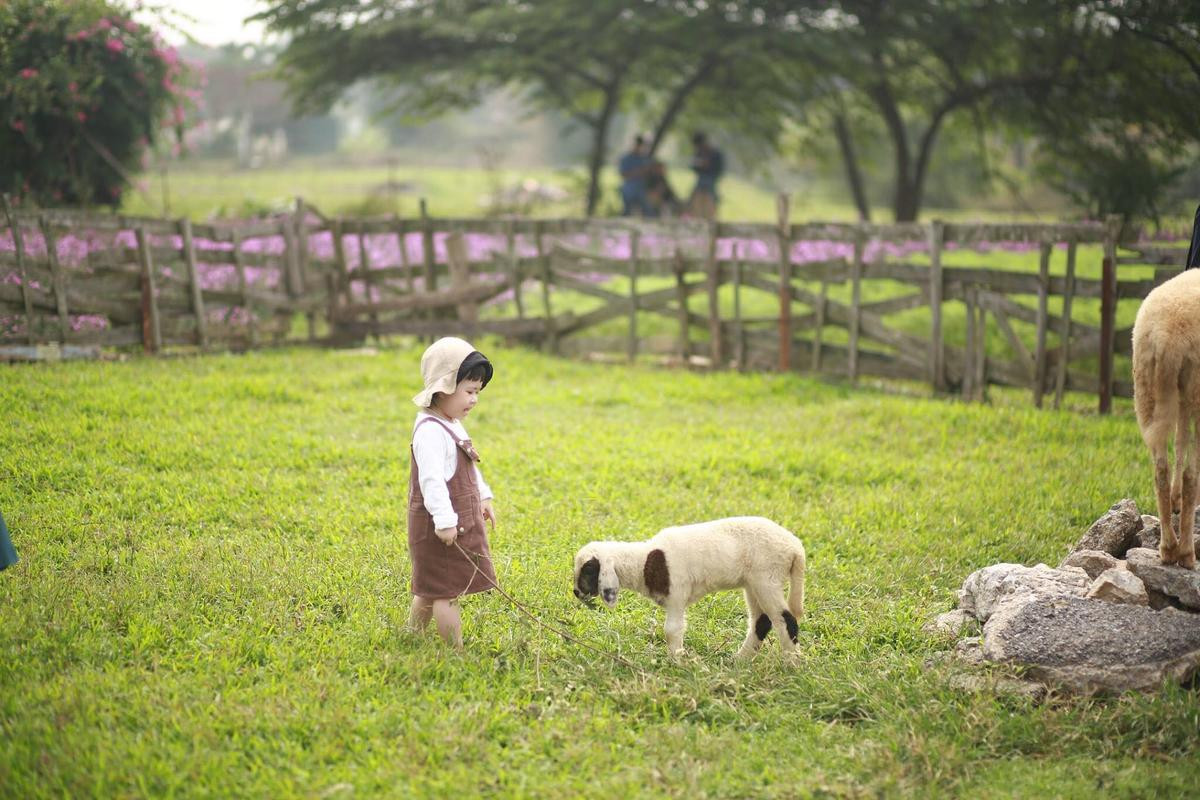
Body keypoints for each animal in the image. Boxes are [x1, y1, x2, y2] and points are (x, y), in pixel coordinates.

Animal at [571, 520, 806, 657]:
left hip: (766, 577)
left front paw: (676, 661)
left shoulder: (677, 593)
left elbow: (672, 630)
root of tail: (795, 547)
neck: (645, 562)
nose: (576, 592)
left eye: (588, 569)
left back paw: (792, 663)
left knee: (786, 620)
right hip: (753, 583)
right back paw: (740, 660)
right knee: (762, 621)